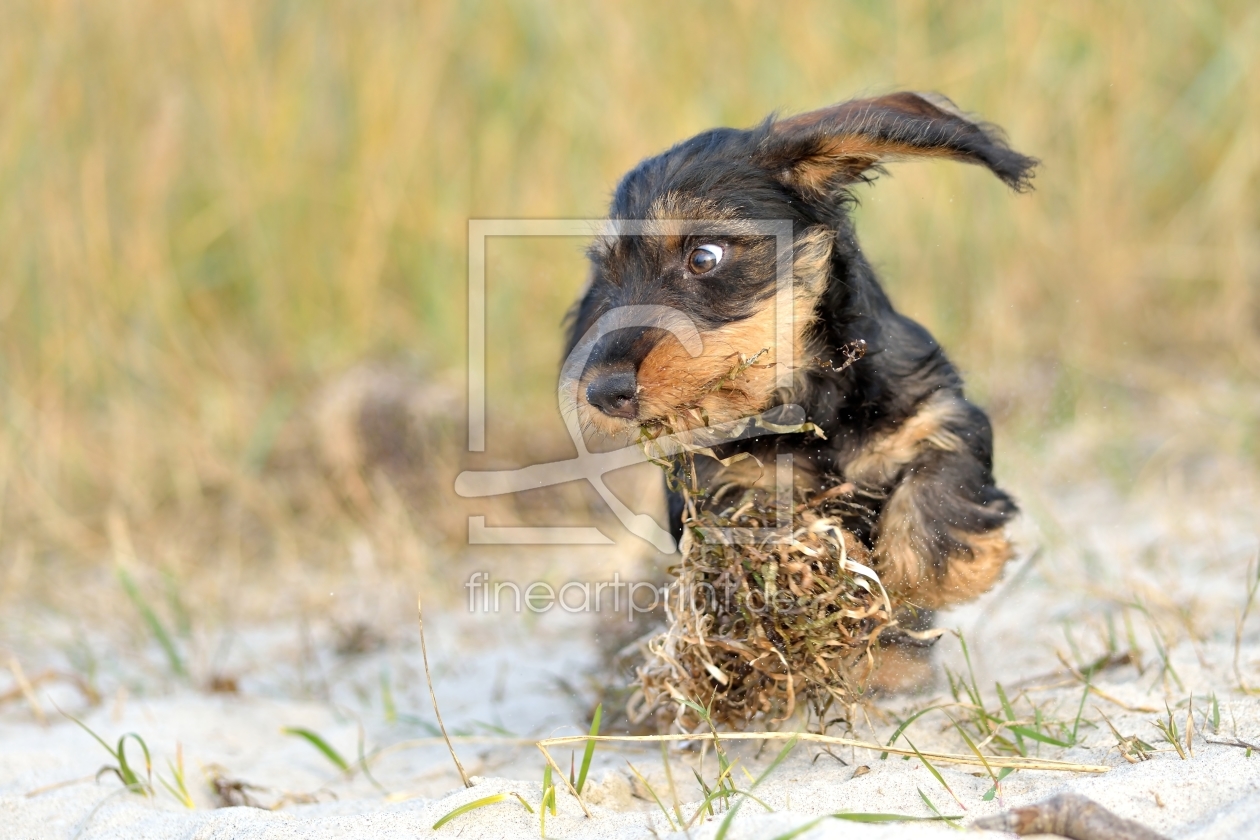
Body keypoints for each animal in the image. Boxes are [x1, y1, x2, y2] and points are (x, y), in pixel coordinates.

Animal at [567, 95, 1038, 695]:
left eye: (704, 256)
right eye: (609, 276)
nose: (602, 392)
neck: (813, 402)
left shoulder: (939, 416)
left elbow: (936, 488)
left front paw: (939, 573)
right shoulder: (725, 489)